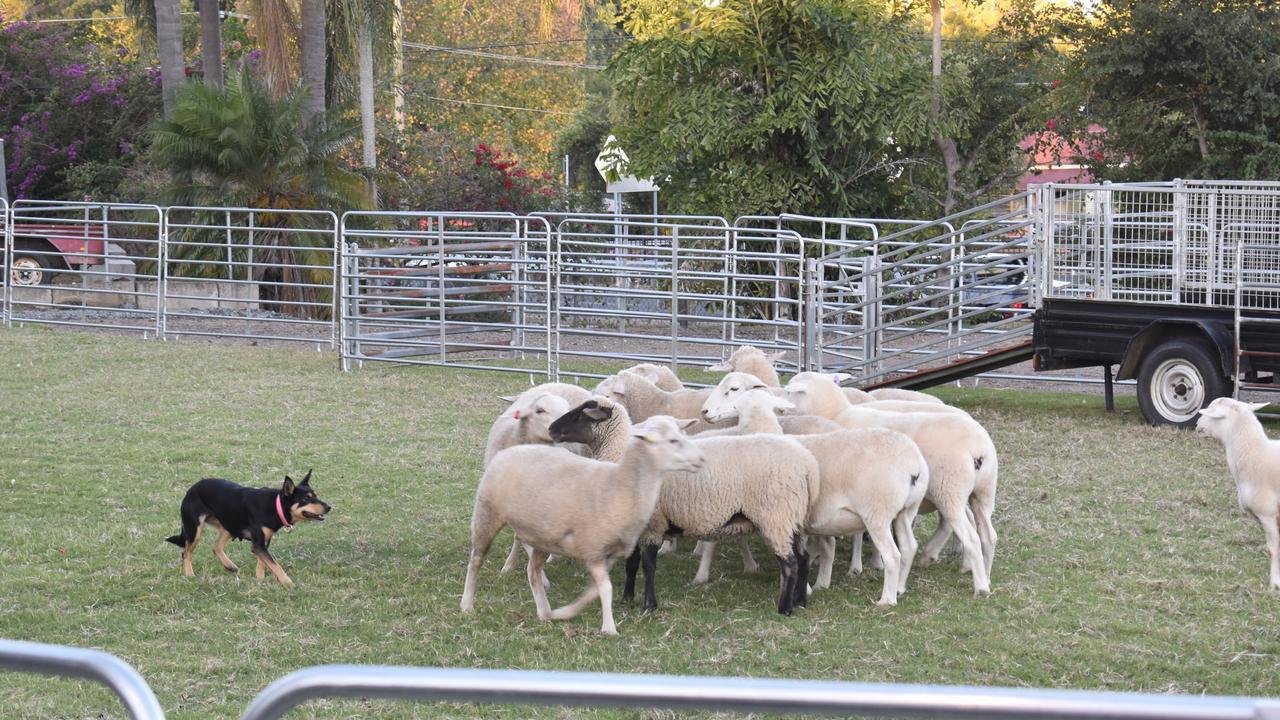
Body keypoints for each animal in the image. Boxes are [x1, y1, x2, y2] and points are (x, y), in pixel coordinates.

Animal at [165, 471, 332, 584]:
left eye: (315, 496)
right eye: (306, 499)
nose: (329, 507)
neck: (275, 505)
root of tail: (191, 489)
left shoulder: (263, 542)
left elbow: (263, 563)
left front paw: (260, 580)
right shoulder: (258, 545)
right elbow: (274, 564)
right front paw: (288, 583)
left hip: (229, 524)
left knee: (216, 547)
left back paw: (230, 566)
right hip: (195, 529)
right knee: (186, 553)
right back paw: (189, 574)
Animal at [460, 412, 706, 630]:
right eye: (673, 440)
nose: (702, 459)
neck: (621, 485)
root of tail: (509, 451)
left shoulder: (606, 553)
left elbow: (595, 590)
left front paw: (565, 613)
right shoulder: (593, 550)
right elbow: (606, 589)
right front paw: (609, 628)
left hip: (541, 534)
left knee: (533, 570)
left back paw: (544, 611)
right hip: (487, 514)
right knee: (476, 560)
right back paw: (467, 604)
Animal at [701, 386, 931, 599]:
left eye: (733, 395)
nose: (706, 412)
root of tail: (914, 463)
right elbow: (822, 549)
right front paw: (819, 584)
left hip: (878, 513)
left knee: (892, 555)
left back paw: (887, 599)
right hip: (906, 511)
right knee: (909, 547)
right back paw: (900, 588)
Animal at [778, 368, 998, 594]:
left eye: (788, 391)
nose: (780, 409)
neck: (836, 412)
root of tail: (978, 448)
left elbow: (858, 533)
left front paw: (858, 566)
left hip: (949, 489)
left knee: (967, 534)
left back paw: (977, 583)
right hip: (982, 492)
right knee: (986, 534)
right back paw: (983, 574)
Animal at [1198, 397, 1280, 589]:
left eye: (1211, 412)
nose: (1197, 424)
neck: (1254, 453)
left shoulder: (1268, 514)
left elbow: (1273, 550)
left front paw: (1274, 585)